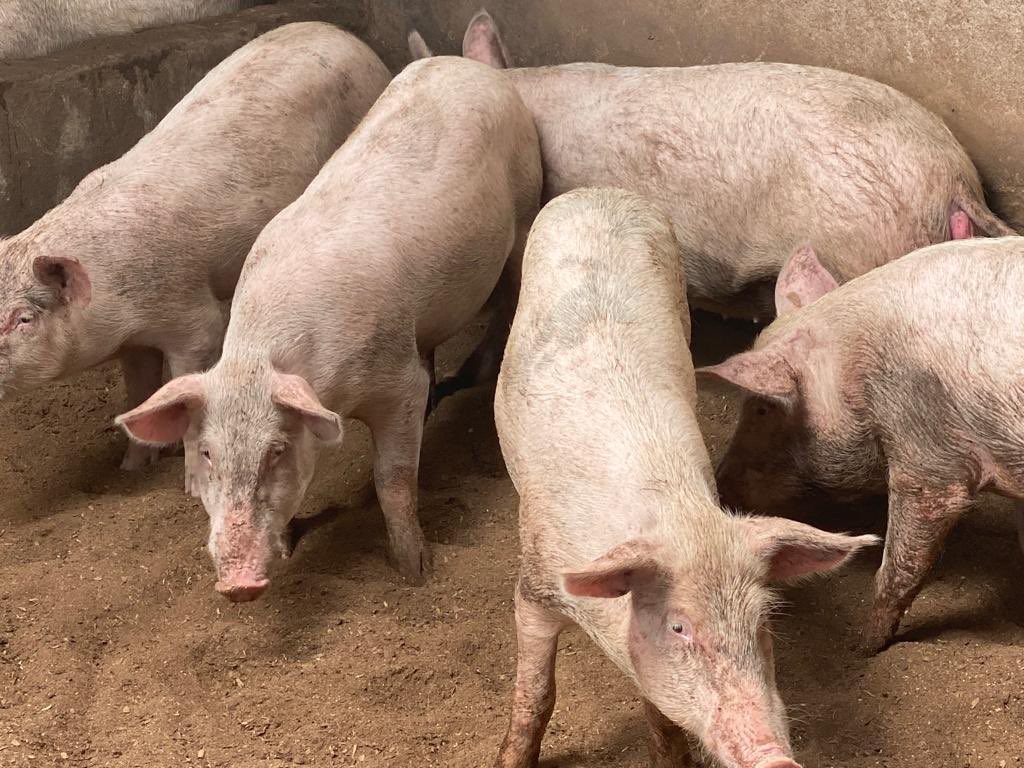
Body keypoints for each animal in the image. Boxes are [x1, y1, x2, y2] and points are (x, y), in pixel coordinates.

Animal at [0, 22, 390, 483]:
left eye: (23, 319)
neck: (111, 293)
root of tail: (342, 33)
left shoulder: (188, 313)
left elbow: (189, 368)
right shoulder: (133, 342)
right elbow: (140, 386)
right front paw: (130, 467)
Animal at [115, 55, 542, 601]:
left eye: (274, 451)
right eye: (206, 452)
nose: (237, 584)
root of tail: (469, 65)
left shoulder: (396, 382)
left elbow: (392, 478)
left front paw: (414, 570)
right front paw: (289, 547)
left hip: (524, 209)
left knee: (509, 296)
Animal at [493, 187, 877, 768]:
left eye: (760, 625)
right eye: (679, 626)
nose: (777, 758)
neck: (678, 518)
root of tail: (601, 192)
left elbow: (662, 715)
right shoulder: (533, 586)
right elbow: (535, 695)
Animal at [700, 238, 1024, 653]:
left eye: (762, 407)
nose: (722, 484)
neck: (852, 368)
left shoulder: (924, 446)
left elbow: (899, 564)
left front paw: (865, 647)